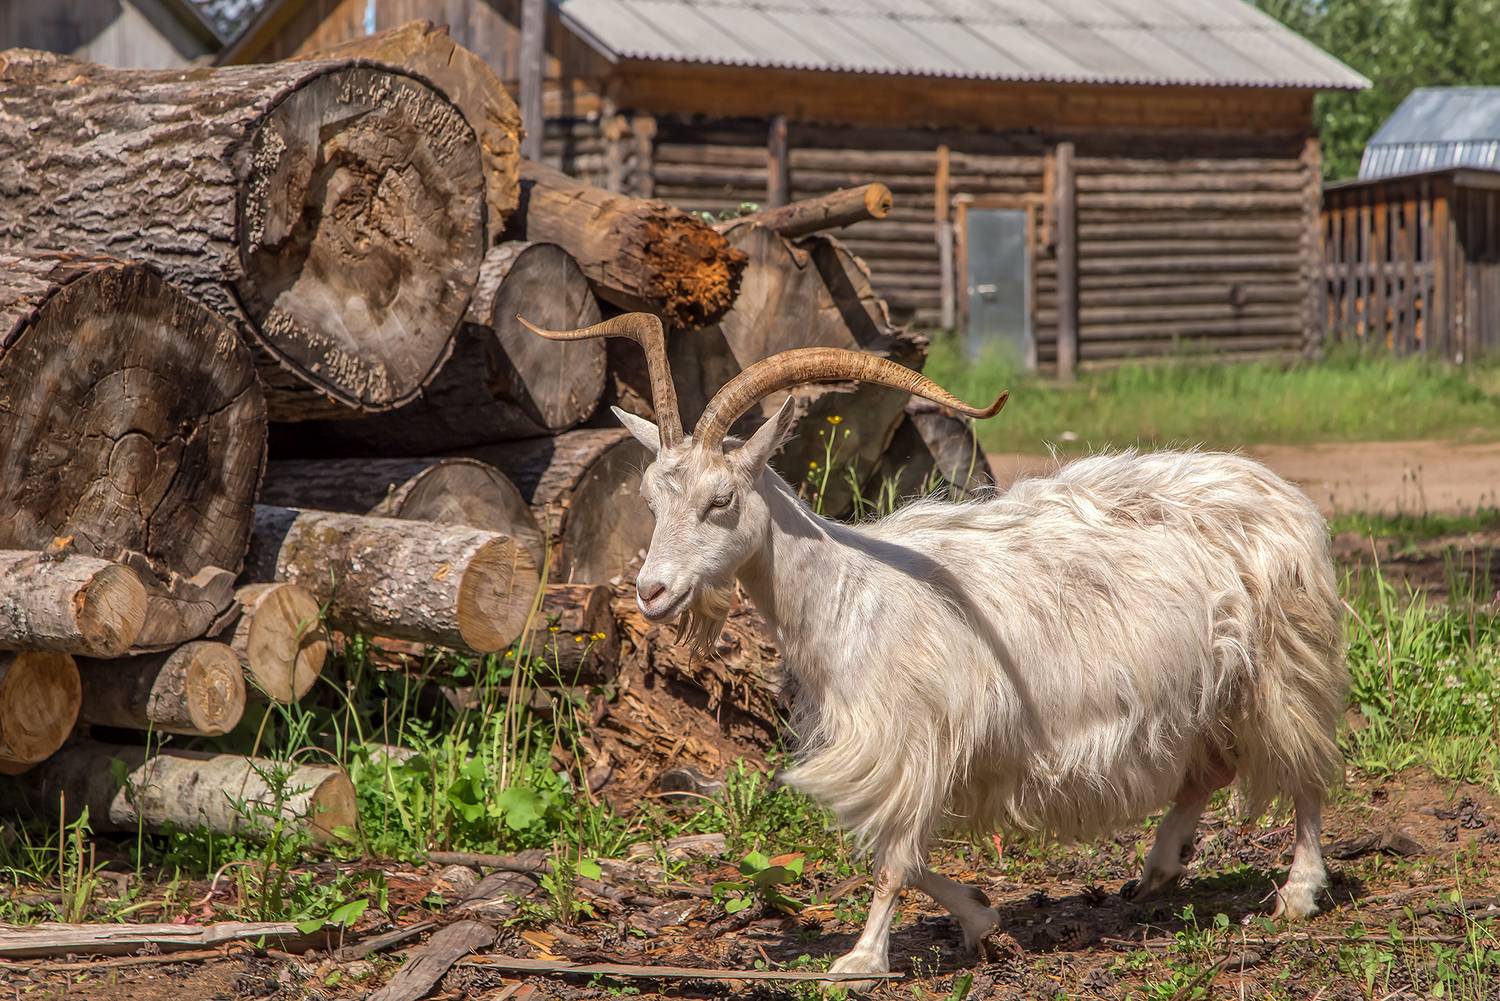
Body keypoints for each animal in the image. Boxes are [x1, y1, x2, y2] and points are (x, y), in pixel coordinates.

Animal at [521, 313, 1348, 985]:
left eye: (720, 500)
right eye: (651, 500)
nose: (652, 591)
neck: (847, 589)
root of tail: (1281, 492)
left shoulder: (910, 735)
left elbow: (892, 856)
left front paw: (859, 958)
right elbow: (904, 853)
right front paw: (981, 916)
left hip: (1285, 656)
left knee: (1303, 768)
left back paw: (1298, 891)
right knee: (1211, 766)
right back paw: (1158, 868)